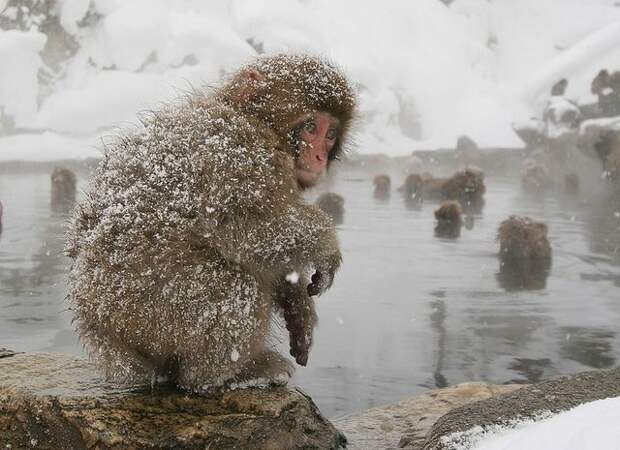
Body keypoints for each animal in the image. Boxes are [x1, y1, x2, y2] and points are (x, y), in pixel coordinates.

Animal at [66, 55, 356, 390]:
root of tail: (99, 332)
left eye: (330, 134)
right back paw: (223, 374)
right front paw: (327, 247)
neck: (257, 123)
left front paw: (298, 307)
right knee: (237, 282)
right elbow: (254, 232)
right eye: (311, 127)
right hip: (150, 310)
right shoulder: (240, 155)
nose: (319, 156)